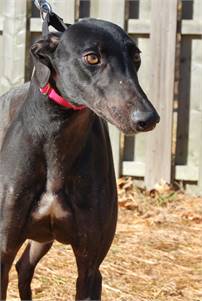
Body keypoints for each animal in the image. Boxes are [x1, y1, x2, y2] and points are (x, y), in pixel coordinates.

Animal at [0, 17, 159, 298]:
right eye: (92, 57)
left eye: (136, 55)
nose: (148, 118)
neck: (56, 134)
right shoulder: (2, 251)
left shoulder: (90, 265)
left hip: (43, 239)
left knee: (24, 266)